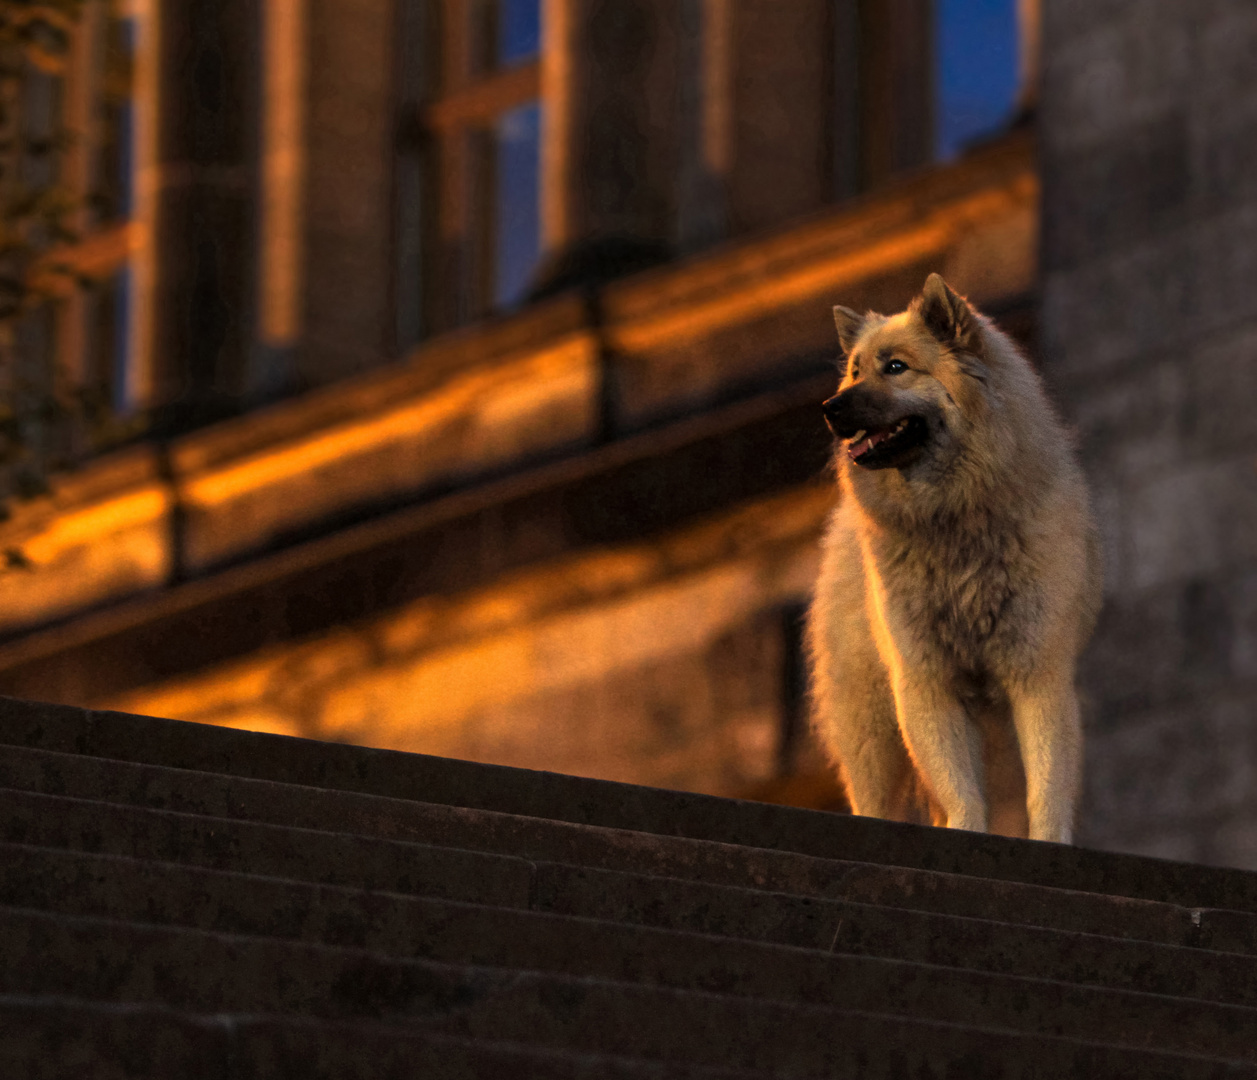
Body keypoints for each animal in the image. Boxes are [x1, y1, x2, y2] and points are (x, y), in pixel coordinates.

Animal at [804, 272, 1101, 844]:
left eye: (896, 367)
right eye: (855, 370)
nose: (830, 406)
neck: (954, 523)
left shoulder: (1038, 674)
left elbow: (1046, 784)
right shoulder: (925, 681)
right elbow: (960, 791)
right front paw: (966, 830)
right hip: (872, 724)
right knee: (875, 797)